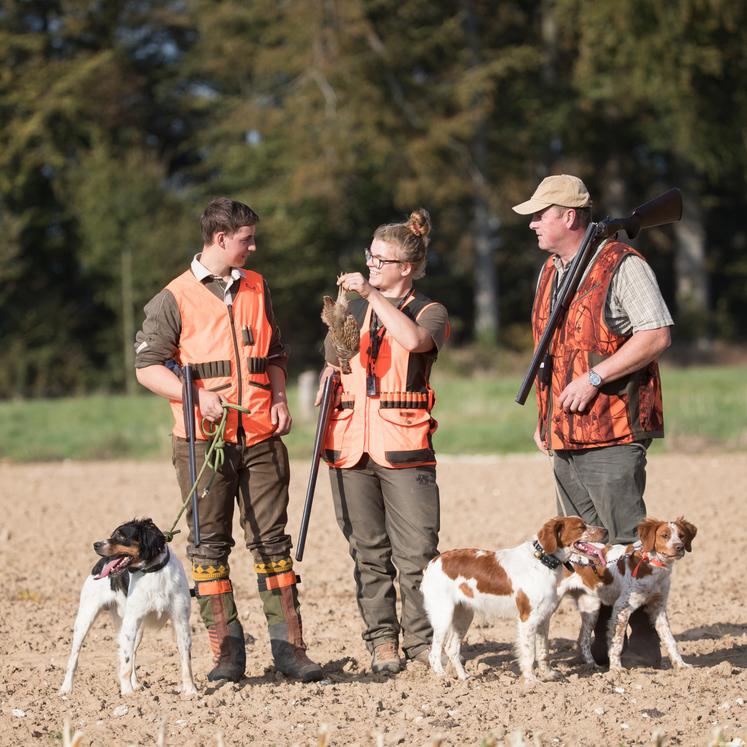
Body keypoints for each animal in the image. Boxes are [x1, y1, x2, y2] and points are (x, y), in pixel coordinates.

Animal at [59, 516, 197, 700]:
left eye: (121, 536)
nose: (95, 544)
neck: (153, 572)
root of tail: (99, 563)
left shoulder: (181, 621)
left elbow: (186, 660)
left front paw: (190, 691)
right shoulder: (131, 622)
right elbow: (125, 662)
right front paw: (127, 693)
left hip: (135, 629)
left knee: (131, 654)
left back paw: (136, 684)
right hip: (85, 619)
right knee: (74, 657)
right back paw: (66, 688)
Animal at [420, 516, 608, 684]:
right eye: (581, 527)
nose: (605, 531)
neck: (542, 561)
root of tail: (432, 563)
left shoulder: (544, 618)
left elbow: (543, 651)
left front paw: (548, 675)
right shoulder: (527, 618)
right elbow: (529, 653)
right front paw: (532, 681)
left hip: (464, 615)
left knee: (451, 648)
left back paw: (464, 678)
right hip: (443, 615)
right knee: (434, 653)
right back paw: (443, 678)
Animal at [560, 520, 700, 672]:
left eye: (682, 535)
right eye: (664, 535)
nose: (679, 547)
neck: (651, 564)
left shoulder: (658, 607)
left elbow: (669, 639)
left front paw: (681, 665)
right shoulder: (622, 607)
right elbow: (617, 642)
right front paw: (616, 669)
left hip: (590, 607)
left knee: (582, 639)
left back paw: (592, 665)